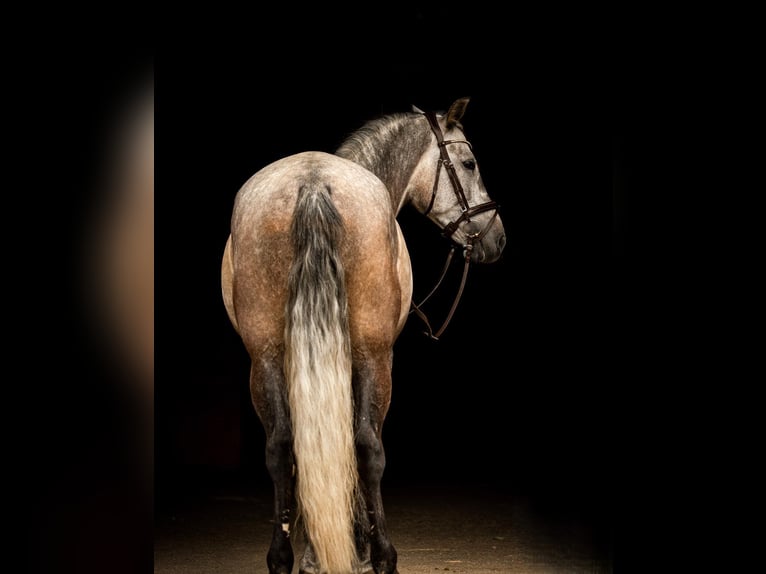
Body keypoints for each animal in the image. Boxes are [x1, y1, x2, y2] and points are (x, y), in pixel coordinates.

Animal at [219, 98, 508, 574]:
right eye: (469, 163)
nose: (496, 237)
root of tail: (312, 182)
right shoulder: (366, 356)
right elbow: (356, 447)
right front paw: (353, 546)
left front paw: (316, 552)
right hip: (374, 356)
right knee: (368, 446)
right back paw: (383, 555)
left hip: (264, 356)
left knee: (282, 446)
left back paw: (283, 557)